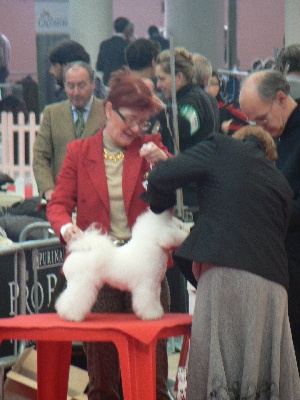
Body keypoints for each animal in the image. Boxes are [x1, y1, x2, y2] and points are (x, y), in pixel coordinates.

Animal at [55, 209, 189, 322]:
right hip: (81, 283)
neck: (151, 247)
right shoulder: (146, 285)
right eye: (179, 227)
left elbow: (155, 300)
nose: (188, 231)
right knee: (72, 299)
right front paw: (151, 315)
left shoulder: (154, 286)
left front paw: (157, 312)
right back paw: (71, 315)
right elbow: (148, 301)